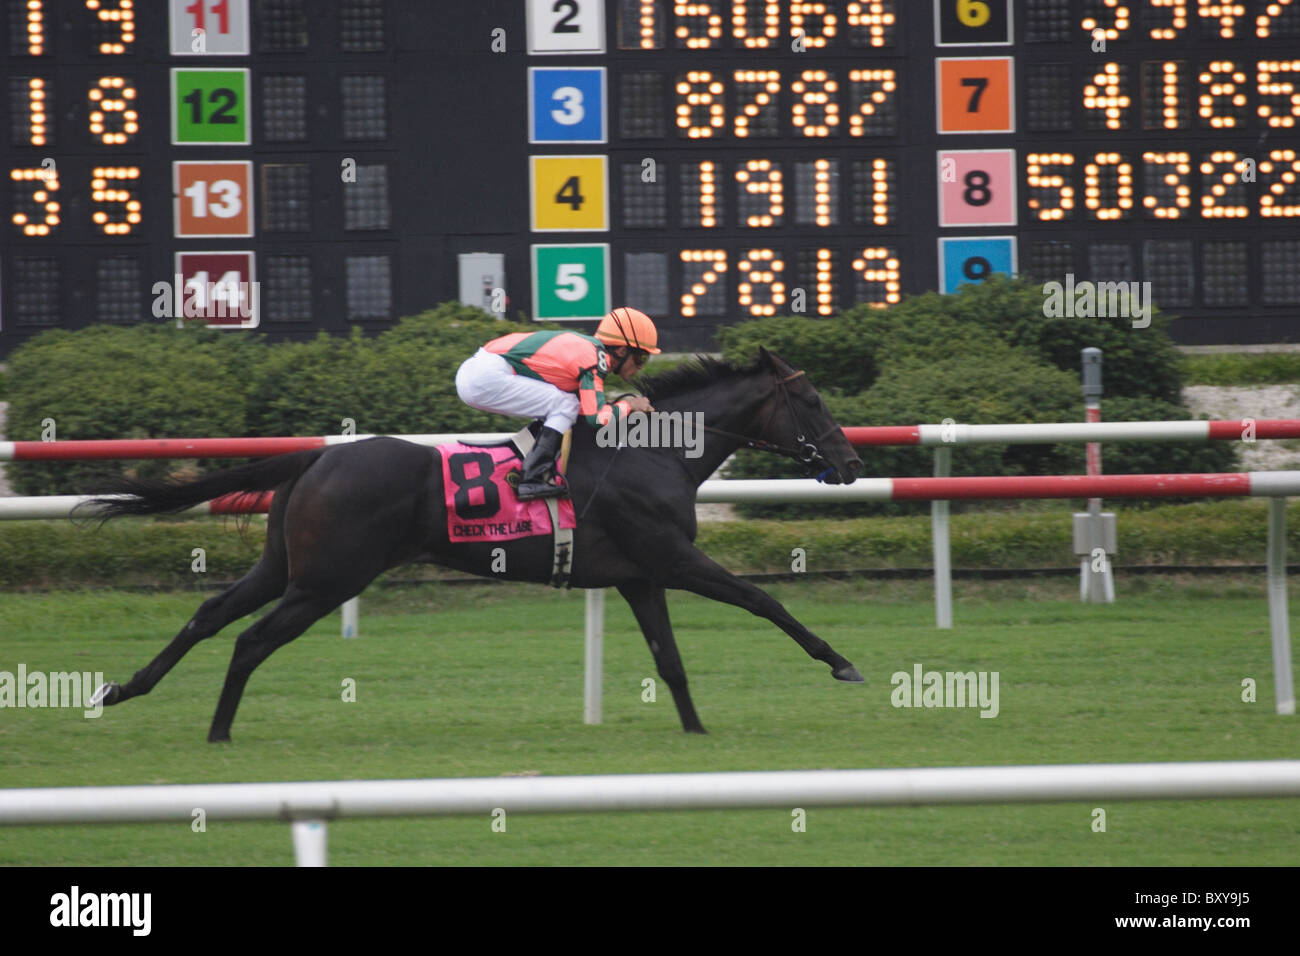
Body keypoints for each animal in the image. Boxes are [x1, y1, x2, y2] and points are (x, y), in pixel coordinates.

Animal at [86, 351, 868, 738]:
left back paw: (125, 688)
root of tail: (313, 458)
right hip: (327, 580)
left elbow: (670, 662)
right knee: (250, 640)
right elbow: (764, 600)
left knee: (209, 614)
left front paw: (697, 733)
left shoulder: (640, 576)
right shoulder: (673, 559)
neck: (652, 453)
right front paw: (842, 663)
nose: (852, 461)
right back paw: (217, 733)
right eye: (812, 401)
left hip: (287, 566)